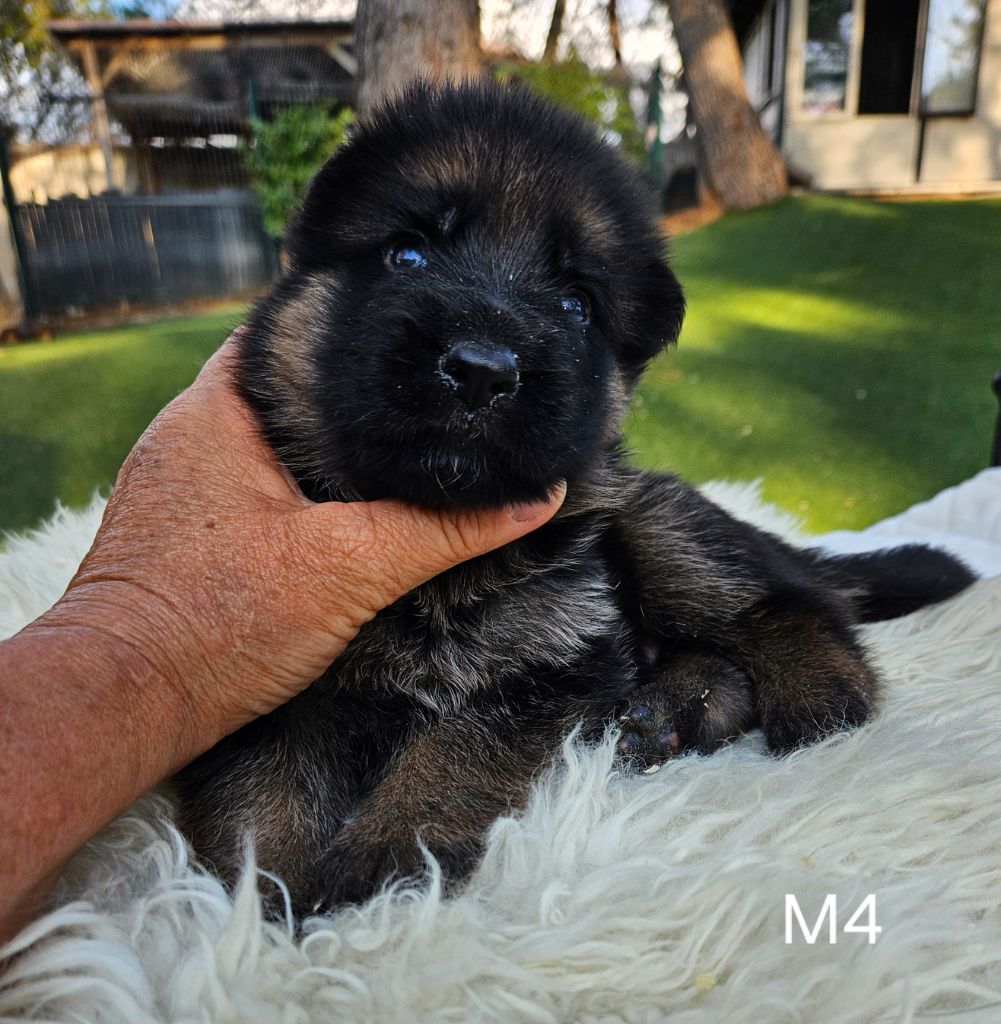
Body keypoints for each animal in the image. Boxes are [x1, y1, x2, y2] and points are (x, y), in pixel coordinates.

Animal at [176, 79, 970, 913]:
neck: (434, 565)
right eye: (406, 254)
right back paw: (671, 710)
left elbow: (453, 752)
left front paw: (388, 856)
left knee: (788, 602)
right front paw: (258, 904)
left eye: (575, 303)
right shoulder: (257, 682)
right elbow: (260, 796)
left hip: (655, 523)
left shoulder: (548, 666)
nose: (482, 371)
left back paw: (817, 693)